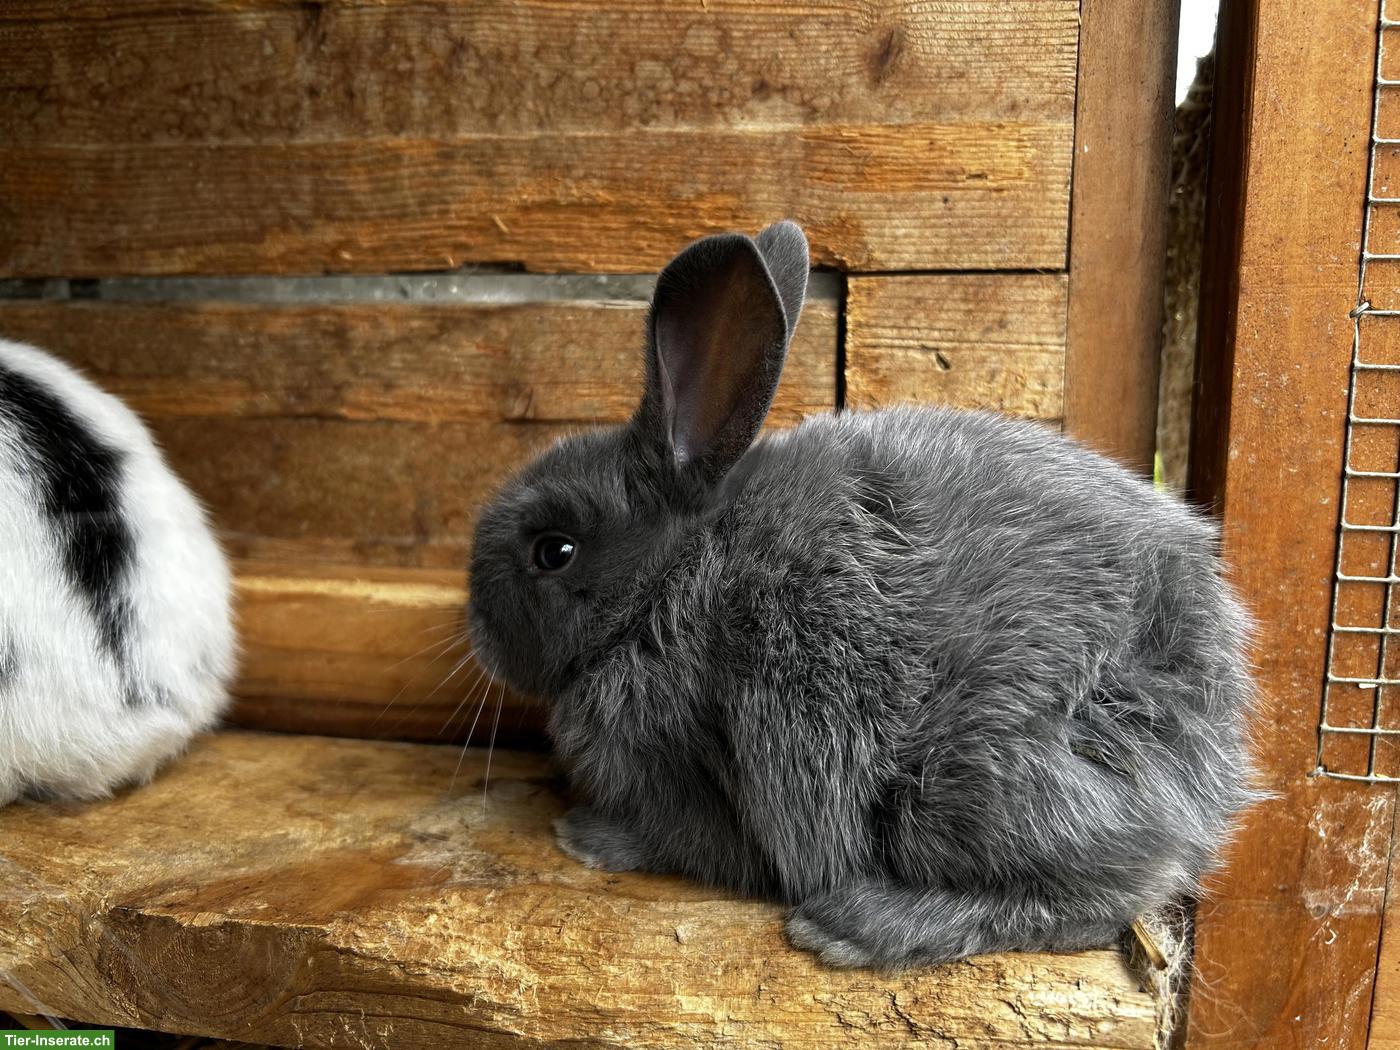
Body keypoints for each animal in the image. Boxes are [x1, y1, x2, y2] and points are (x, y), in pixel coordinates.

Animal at [467, 221, 1257, 969]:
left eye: (553, 551)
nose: (474, 624)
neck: (668, 580)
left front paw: (583, 835)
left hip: (978, 784)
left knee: (1105, 894)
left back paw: (856, 926)